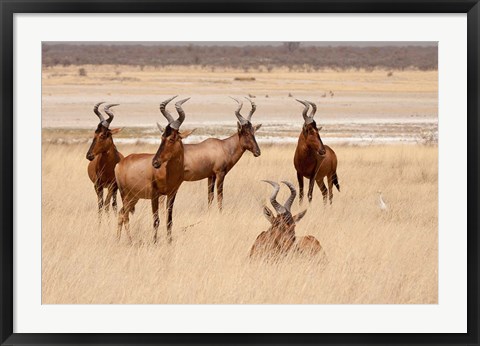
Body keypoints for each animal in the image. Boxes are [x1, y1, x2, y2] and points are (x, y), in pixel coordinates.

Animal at [114, 96, 193, 243]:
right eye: (162, 137)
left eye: (172, 138)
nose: (155, 163)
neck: (168, 172)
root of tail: (120, 164)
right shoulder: (155, 195)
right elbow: (156, 220)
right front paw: (155, 242)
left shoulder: (172, 194)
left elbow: (169, 220)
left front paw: (169, 241)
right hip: (125, 195)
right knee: (124, 215)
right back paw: (128, 241)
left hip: (134, 197)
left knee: (122, 213)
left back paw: (120, 239)